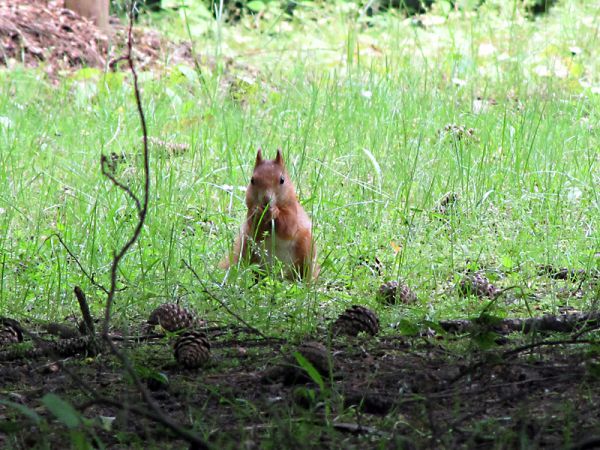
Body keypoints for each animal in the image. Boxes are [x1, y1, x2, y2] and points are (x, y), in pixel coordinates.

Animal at [223, 149, 318, 280]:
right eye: (252, 180)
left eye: (282, 180)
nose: (266, 200)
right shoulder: (249, 220)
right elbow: (256, 231)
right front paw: (258, 211)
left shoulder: (294, 214)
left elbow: (289, 228)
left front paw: (275, 212)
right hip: (246, 249)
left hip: (306, 250)